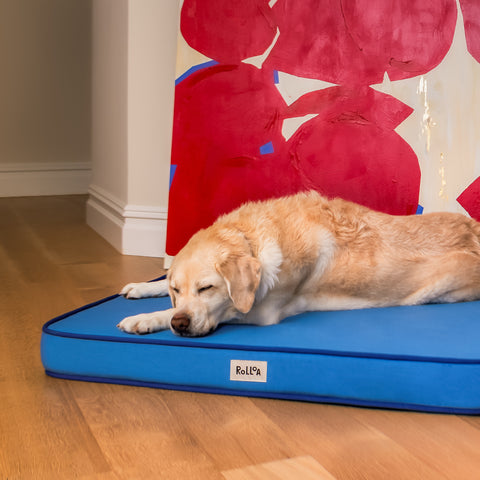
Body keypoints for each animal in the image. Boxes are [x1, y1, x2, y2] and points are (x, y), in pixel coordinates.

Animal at [115, 189, 480, 336]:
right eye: (177, 289)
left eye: (207, 288)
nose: (181, 324)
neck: (253, 236)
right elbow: (161, 285)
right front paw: (142, 288)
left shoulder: (261, 312)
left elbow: (225, 308)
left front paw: (145, 319)